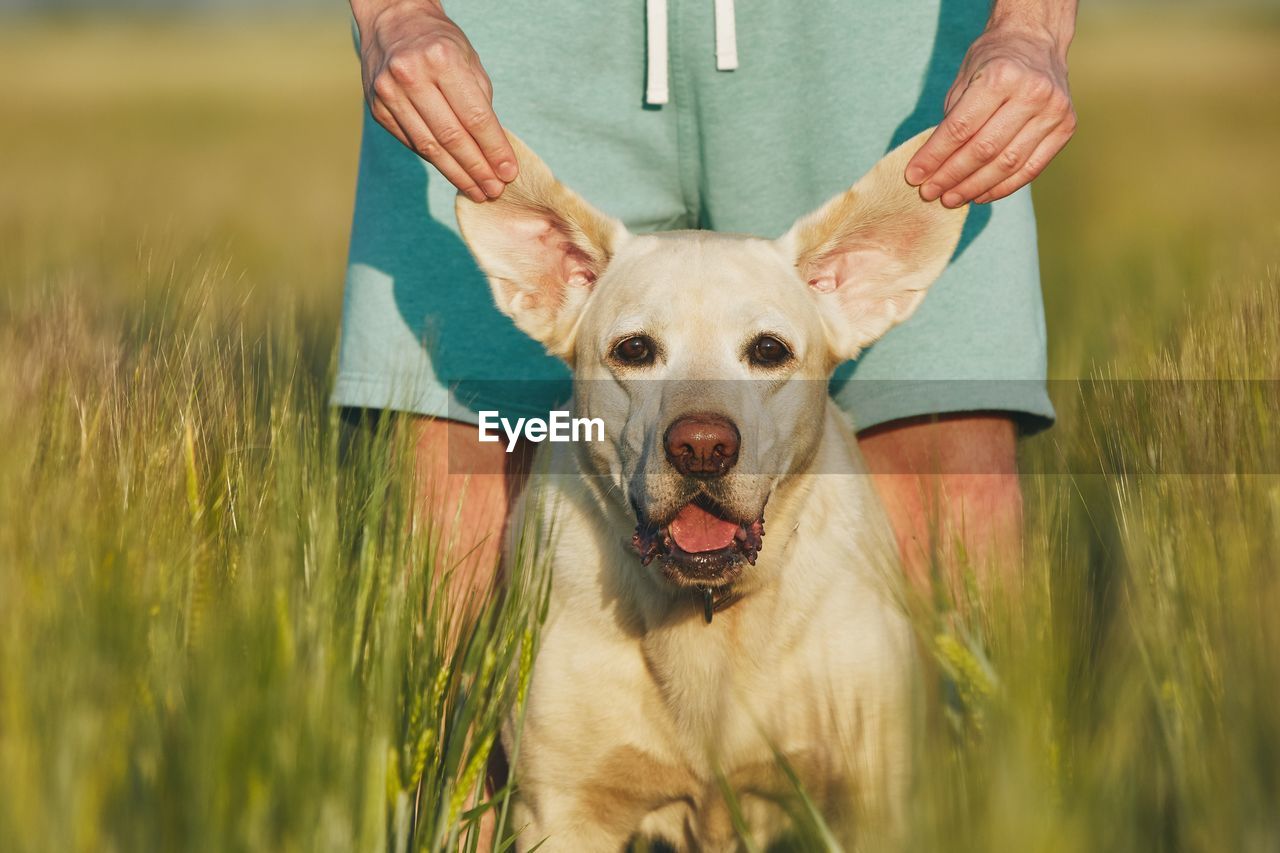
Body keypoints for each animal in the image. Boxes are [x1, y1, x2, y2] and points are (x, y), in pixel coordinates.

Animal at [455, 129, 962, 845]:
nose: (702, 448)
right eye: (635, 350)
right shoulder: (561, 810)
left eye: (770, 350)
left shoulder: (871, 801)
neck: (704, 616)